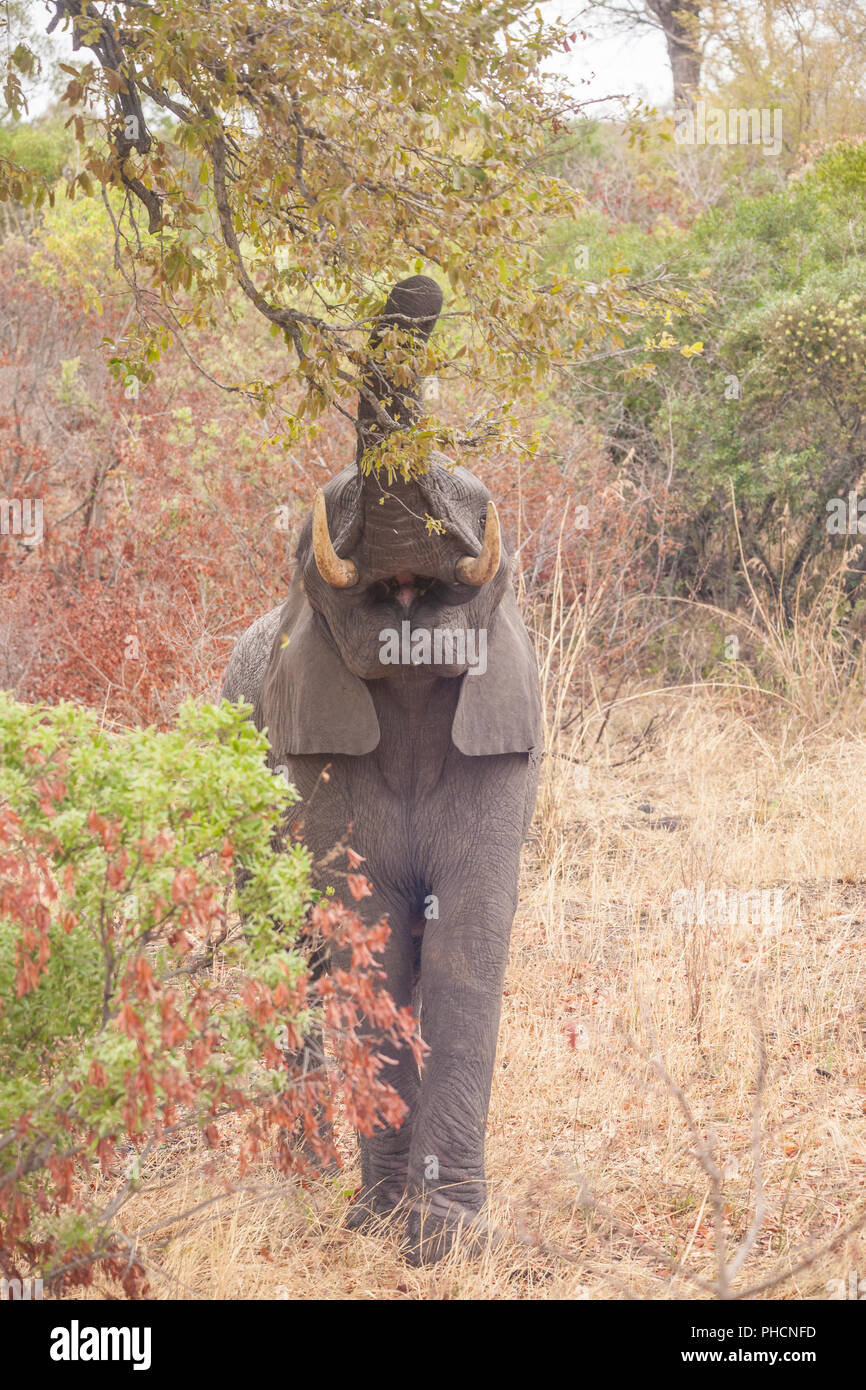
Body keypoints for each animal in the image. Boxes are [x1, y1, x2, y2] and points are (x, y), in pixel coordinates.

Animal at [219, 276, 539, 1267]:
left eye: (479, 504)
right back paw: (305, 1181)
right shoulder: (316, 759)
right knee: (289, 963)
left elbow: (469, 939)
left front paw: (448, 1240)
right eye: (318, 531)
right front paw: (385, 1224)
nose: (422, 288)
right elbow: (375, 936)